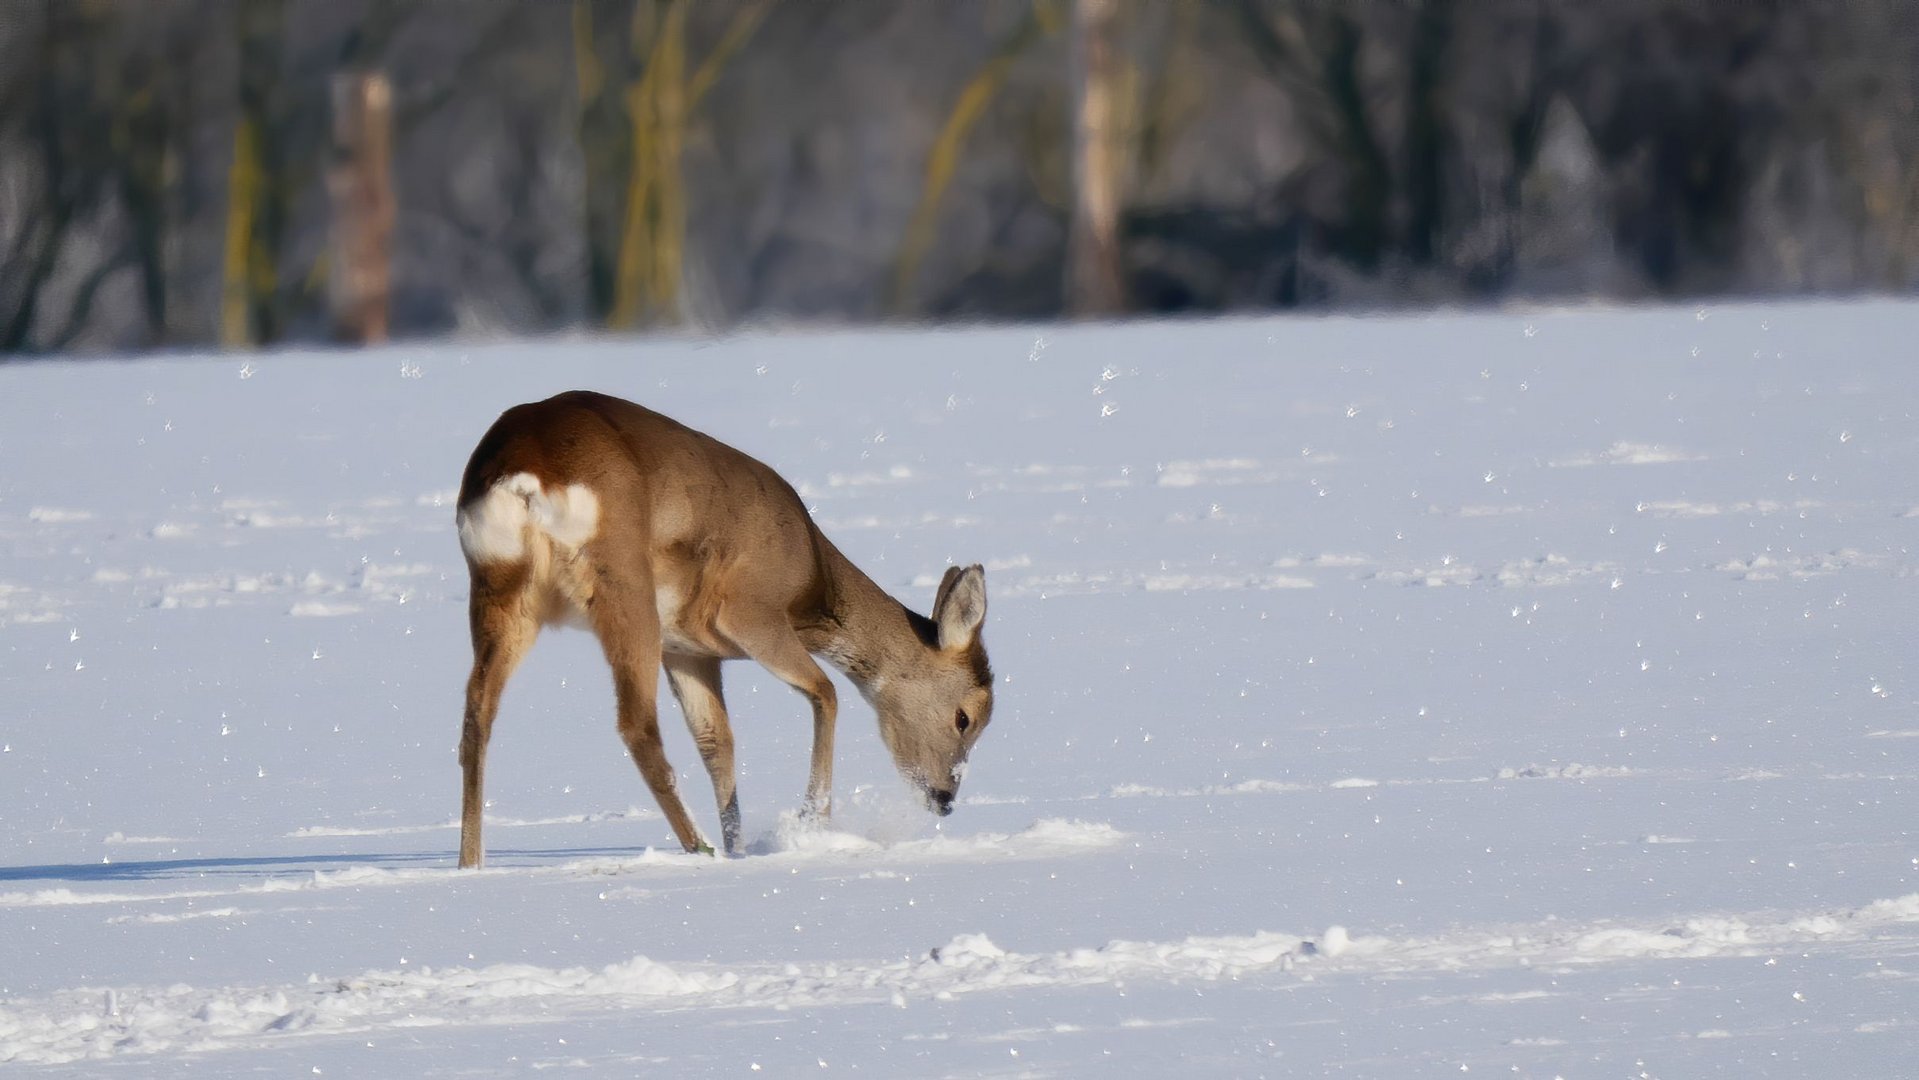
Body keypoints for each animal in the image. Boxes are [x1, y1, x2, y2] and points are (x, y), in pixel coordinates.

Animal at [449, 393, 990, 867]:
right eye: (966, 717)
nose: (945, 797)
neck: (811, 582)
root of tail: (523, 477)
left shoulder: (688, 652)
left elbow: (717, 742)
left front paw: (741, 850)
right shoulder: (750, 612)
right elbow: (826, 691)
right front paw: (810, 823)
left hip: (499, 591)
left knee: (477, 714)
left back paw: (471, 863)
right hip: (624, 587)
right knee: (636, 723)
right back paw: (699, 847)